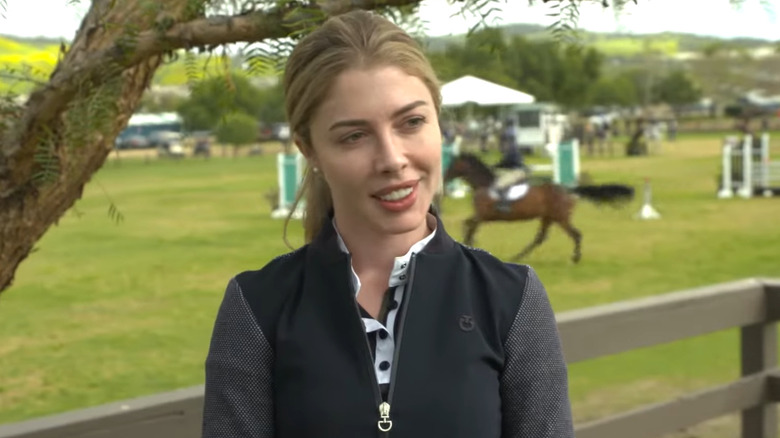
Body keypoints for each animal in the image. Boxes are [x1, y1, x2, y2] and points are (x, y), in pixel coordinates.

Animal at [444, 153, 584, 264]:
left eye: (453, 165)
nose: (444, 178)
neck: (483, 185)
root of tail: (568, 191)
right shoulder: (481, 217)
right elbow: (468, 226)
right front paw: (470, 243)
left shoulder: (482, 216)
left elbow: (469, 227)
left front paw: (469, 243)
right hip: (548, 217)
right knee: (540, 238)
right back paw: (517, 257)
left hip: (560, 218)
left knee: (576, 234)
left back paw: (575, 258)